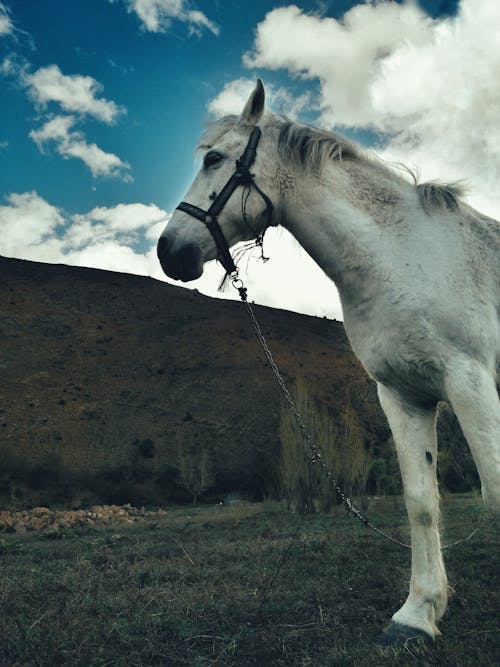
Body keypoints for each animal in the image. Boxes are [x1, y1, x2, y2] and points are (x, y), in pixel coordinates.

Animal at [157, 81, 500, 644]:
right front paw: (418, 614)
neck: (403, 258)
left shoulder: (470, 384)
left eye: (213, 158)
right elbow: (421, 504)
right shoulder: (404, 395)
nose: (170, 251)